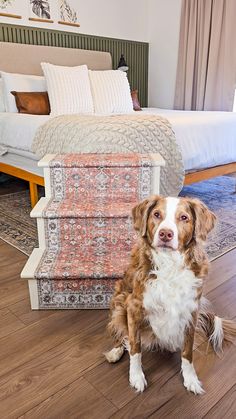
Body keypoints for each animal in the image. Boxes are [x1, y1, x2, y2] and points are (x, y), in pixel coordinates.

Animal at [105, 195, 236, 396]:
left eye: (184, 218)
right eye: (157, 214)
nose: (165, 234)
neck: (169, 265)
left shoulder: (191, 311)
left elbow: (188, 352)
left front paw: (190, 379)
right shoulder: (133, 307)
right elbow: (135, 347)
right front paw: (136, 376)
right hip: (119, 300)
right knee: (123, 333)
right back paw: (116, 351)